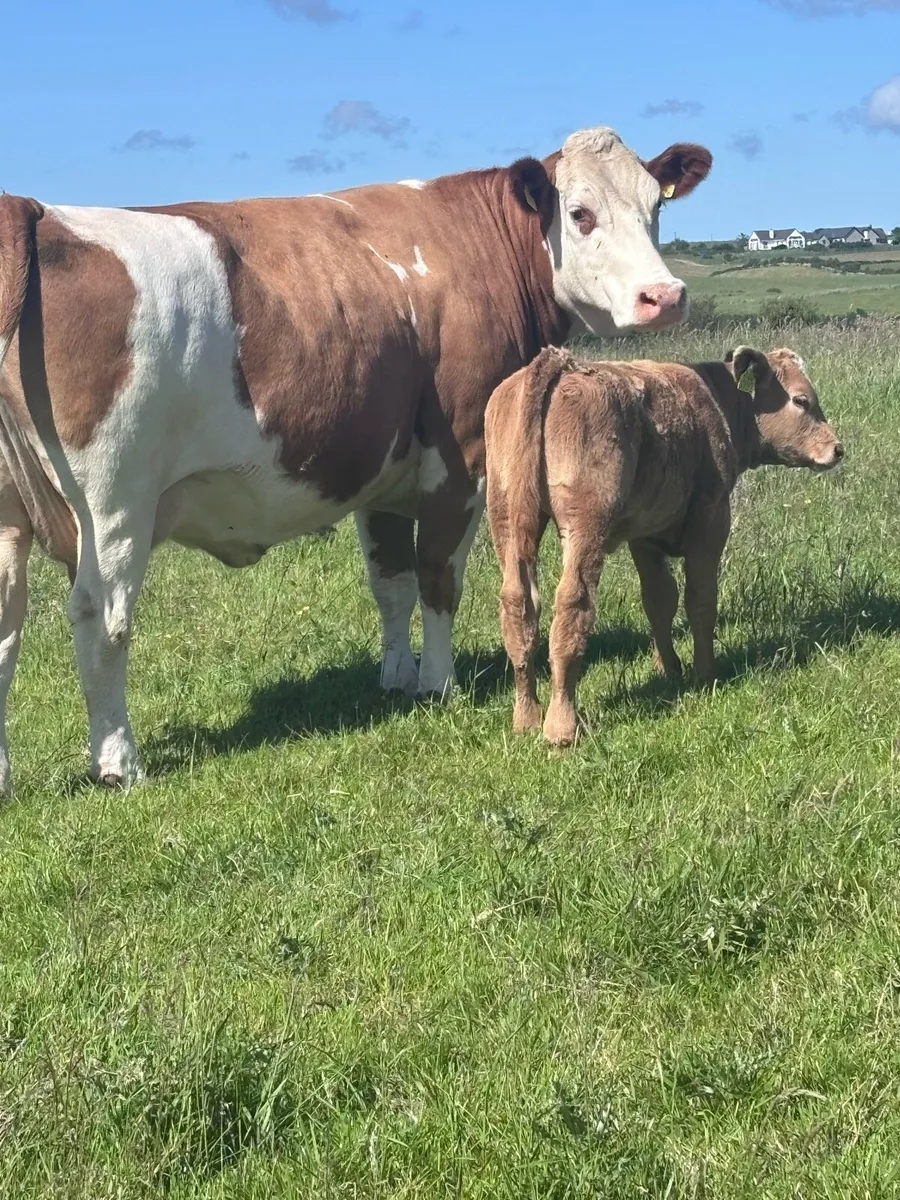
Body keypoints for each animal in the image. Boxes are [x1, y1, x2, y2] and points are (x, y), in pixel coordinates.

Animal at [0, 126, 711, 792]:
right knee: (102, 620)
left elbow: (389, 580)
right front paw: (438, 682)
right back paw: (118, 763)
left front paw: (397, 677)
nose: (664, 296)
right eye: (581, 213)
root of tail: (37, 211)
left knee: (8, 624)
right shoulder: (462, 461)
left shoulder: (384, 471)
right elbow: (437, 576)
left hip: (15, 512)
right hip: (116, 504)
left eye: (655, 206)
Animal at [485, 345, 843, 746]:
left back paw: (526, 718)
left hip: (507, 520)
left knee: (519, 605)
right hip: (585, 526)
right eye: (801, 400)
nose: (837, 448)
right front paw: (706, 672)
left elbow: (659, 601)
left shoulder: (646, 536)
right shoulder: (710, 521)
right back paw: (561, 726)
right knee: (571, 605)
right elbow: (700, 601)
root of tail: (558, 362)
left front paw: (669, 668)